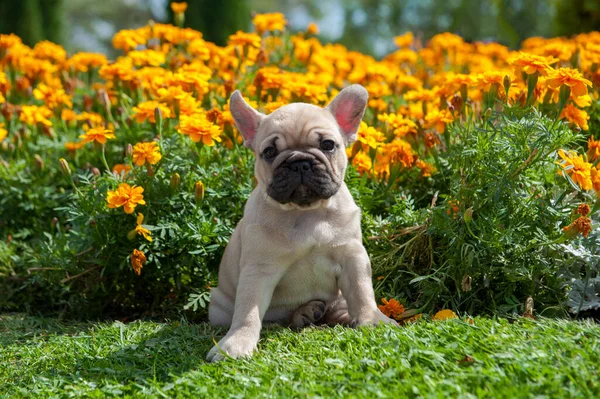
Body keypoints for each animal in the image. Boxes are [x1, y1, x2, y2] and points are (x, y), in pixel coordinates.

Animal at [204, 84, 396, 362]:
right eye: (269, 152)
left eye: (328, 145)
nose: (299, 162)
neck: (306, 213)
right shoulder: (258, 270)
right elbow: (248, 311)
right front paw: (237, 343)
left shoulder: (352, 257)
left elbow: (362, 292)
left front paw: (372, 320)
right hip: (220, 305)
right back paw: (304, 314)